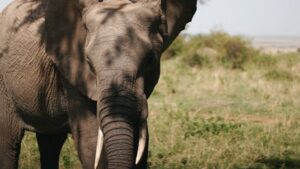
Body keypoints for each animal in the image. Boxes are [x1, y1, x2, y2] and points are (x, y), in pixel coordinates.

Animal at [0, 0, 197, 168]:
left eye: (150, 60)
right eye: (88, 62)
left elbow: (140, 142)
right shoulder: (71, 73)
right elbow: (91, 141)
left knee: (50, 142)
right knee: (9, 144)